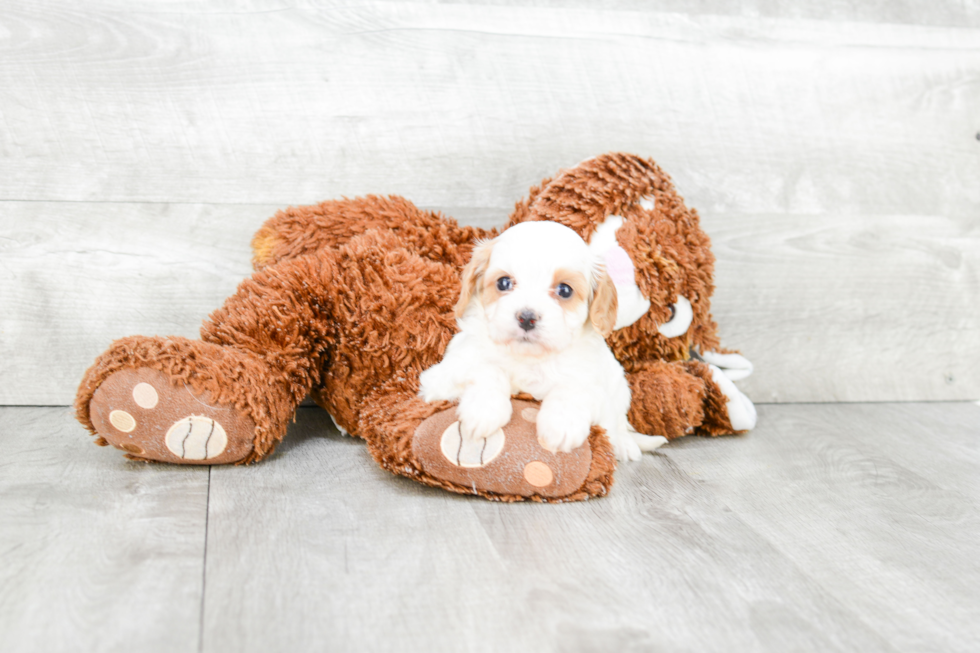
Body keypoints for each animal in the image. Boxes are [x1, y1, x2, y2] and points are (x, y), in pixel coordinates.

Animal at [418, 222, 668, 460]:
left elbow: (574, 388)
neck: (529, 358)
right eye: (504, 283)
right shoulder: (442, 375)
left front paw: (562, 425)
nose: (526, 318)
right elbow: (488, 368)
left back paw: (625, 445)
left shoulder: (592, 383)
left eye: (565, 290)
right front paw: (483, 410)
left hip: (620, 388)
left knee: (618, 424)